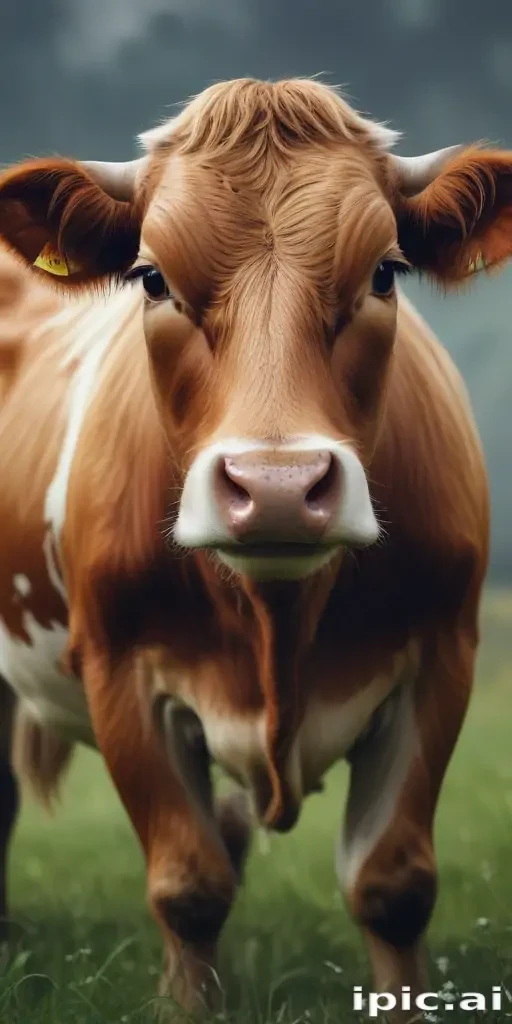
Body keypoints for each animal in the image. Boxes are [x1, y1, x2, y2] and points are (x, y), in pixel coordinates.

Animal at [0, 76, 507, 1019]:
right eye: (151, 278)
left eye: (384, 271)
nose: (277, 485)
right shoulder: (121, 670)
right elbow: (188, 884)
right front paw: (189, 1005)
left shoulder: (442, 656)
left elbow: (393, 884)